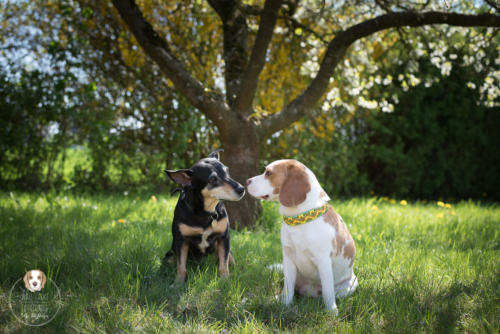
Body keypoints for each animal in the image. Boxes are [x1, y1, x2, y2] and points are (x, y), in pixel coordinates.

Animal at [164, 149, 244, 282]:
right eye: (212, 179)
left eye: (227, 171)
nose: (242, 189)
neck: (205, 212)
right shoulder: (181, 241)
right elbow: (181, 266)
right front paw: (178, 283)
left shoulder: (224, 237)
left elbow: (224, 264)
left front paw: (225, 280)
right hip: (169, 255)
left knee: (230, 260)